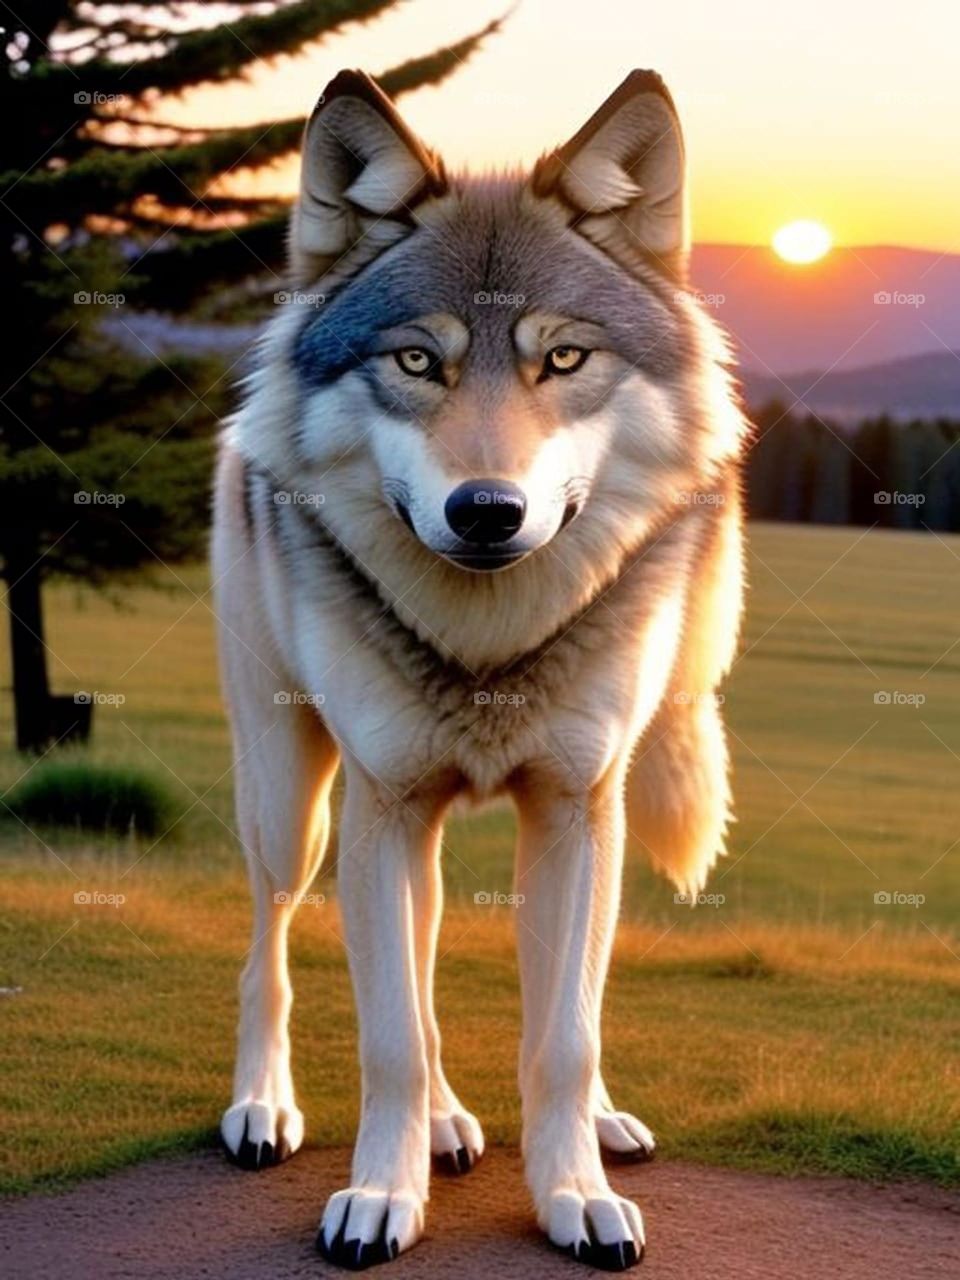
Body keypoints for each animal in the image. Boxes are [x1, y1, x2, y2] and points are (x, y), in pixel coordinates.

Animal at [212, 67, 746, 1271]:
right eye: (418, 360)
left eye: (565, 358)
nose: (488, 510)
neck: (490, 646)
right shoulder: (385, 802)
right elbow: (390, 1039)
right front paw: (380, 1195)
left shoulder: (580, 810)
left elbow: (564, 1033)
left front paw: (575, 1193)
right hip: (293, 807)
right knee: (273, 941)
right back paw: (270, 1107)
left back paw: (556, 1124)